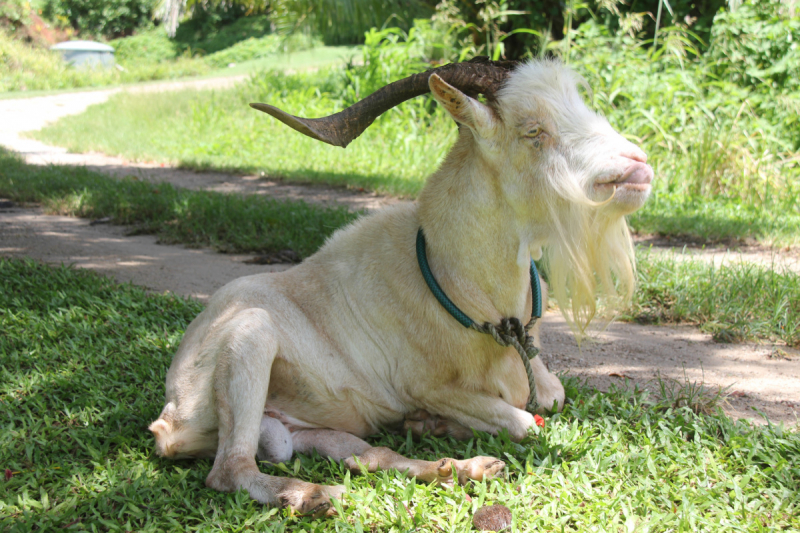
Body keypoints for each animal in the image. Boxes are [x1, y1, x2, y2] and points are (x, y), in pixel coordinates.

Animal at [148, 57, 648, 516]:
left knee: (366, 455)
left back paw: (455, 463)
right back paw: (315, 496)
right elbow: (527, 421)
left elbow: (553, 397)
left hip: (307, 425)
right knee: (230, 470)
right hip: (250, 335)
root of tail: (170, 419)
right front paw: (437, 420)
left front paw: (432, 427)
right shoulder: (422, 385)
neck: (459, 281)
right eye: (533, 131)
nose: (639, 168)